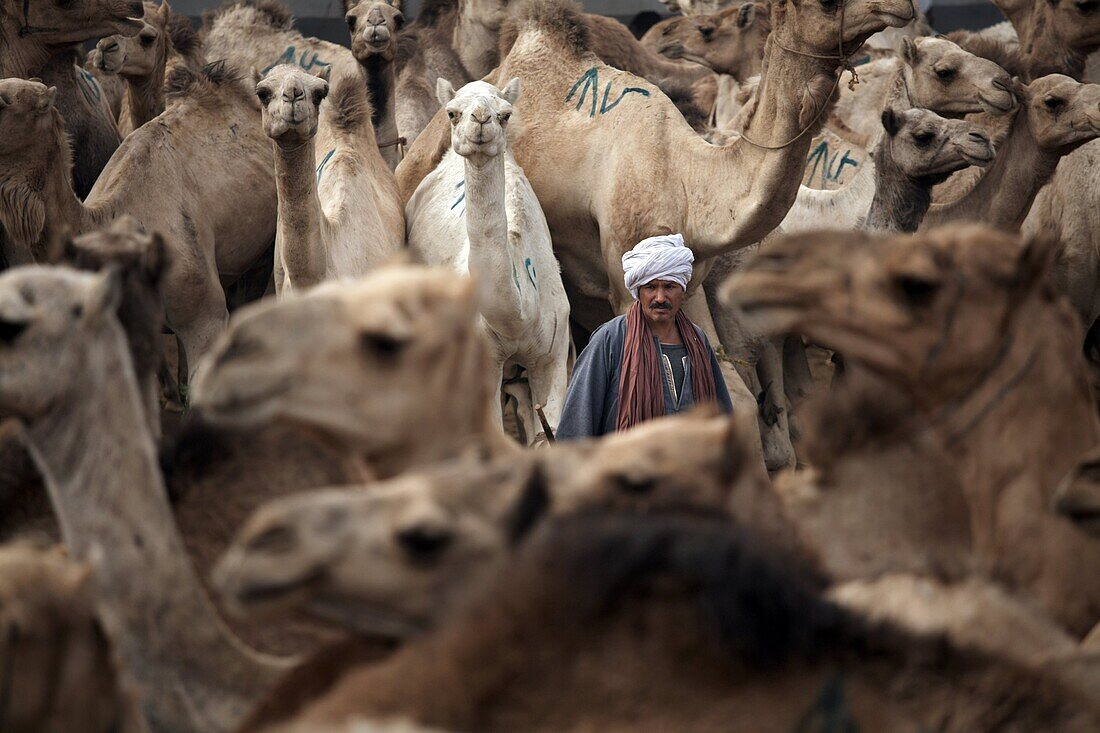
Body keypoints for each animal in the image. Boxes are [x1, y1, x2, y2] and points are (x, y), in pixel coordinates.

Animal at [409, 81, 572, 444]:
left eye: (505, 114)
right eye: (452, 112)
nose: (481, 119)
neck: (521, 313)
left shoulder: (552, 356)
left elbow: (550, 432)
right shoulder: (484, 361)